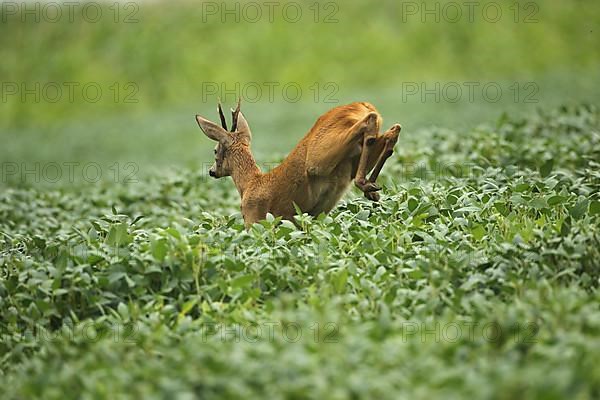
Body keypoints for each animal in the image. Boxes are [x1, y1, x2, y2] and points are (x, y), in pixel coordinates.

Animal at [197, 100, 400, 228]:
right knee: (392, 131)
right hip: (350, 160)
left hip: (319, 157)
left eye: (215, 150)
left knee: (371, 121)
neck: (249, 184)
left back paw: (365, 185)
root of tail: (361, 105)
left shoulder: (255, 219)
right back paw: (372, 190)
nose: (212, 171)